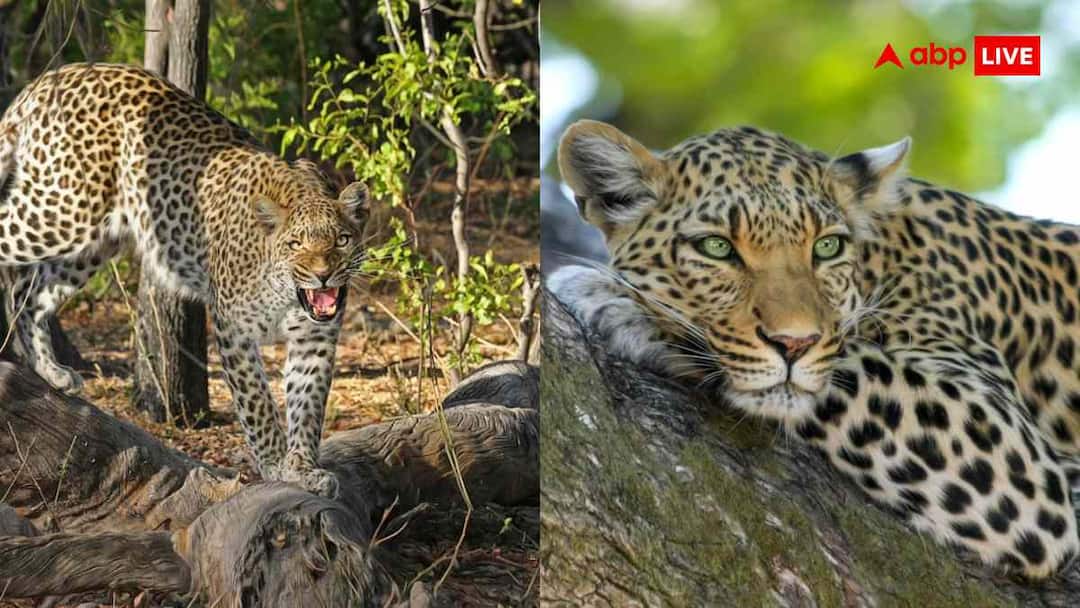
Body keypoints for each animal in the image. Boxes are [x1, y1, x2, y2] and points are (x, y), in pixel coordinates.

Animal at [0, 63, 371, 496]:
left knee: (29, 294)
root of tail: (50, 78)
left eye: (342, 239)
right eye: (295, 244)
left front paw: (303, 468)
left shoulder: (315, 340)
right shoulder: (233, 329)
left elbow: (307, 407)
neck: (286, 293)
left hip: (92, 242)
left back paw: (51, 371)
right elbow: (258, 405)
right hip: (61, 210)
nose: (322, 275)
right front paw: (276, 465)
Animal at [548, 119, 1080, 579]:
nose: (794, 343)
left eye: (826, 248)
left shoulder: (1015, 453)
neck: (884, 258)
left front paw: (618, 303)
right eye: (717, 248)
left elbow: (848, 364)